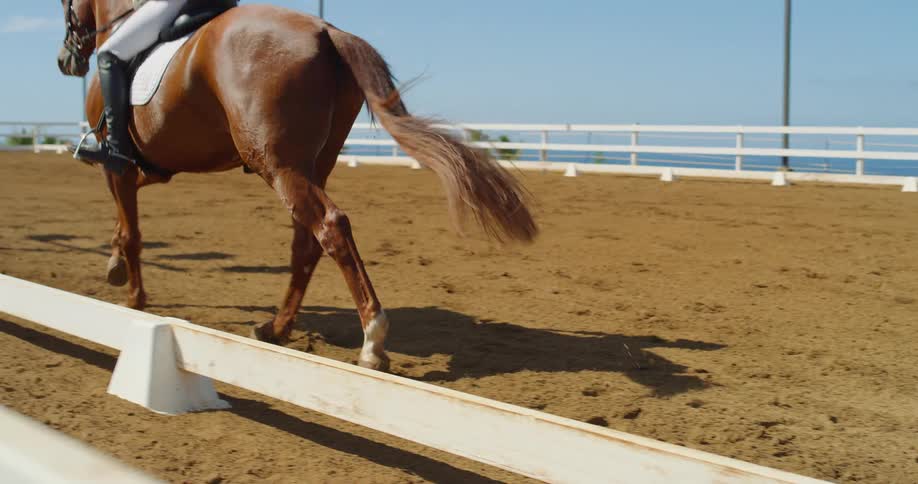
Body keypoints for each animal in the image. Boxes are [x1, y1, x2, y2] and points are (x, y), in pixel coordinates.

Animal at [56, 0, 537, 371]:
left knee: (330, 227)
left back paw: (371, 343)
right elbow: (125, 223)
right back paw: (277, 328)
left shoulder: (115, 165)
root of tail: (326, 31)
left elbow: (132, 230)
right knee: (307, 243)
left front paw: (132, 297)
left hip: (280, 166)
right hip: (311, 166)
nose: (66, 61)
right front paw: (115, 265)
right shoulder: (147, 170)